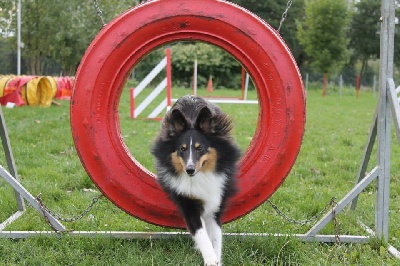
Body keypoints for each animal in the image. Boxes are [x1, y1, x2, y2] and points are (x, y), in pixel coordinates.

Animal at [152, 95, 241, 264]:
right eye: (182, 149)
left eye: (200, 148)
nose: (190, 170)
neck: (201, 175)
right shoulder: (187, 203)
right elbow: (202, 234)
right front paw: (210, 259)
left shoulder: (216, 203)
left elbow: (216, 238)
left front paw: (216, 259)